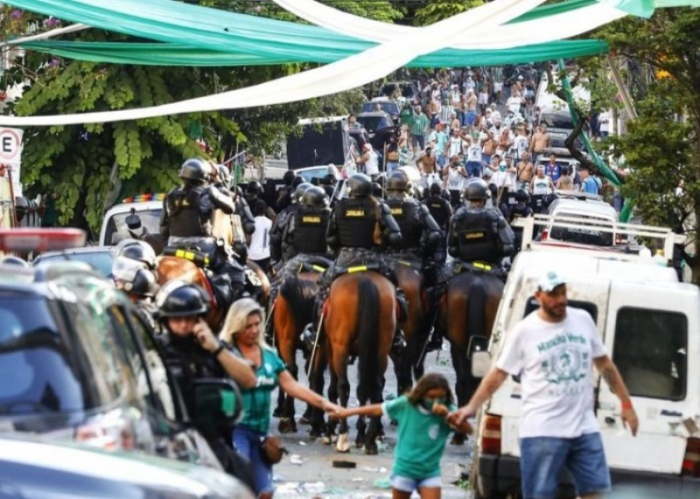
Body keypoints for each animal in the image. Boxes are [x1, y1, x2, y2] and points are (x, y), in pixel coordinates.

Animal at [324, 272, 396, 456]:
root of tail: (365, 280)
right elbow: (363, 391)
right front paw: (361, 436)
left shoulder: (331, 349)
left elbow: (333, 388)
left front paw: (330, 430)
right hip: (381, 350)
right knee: (375, 389)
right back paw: (370, 441)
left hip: (340, 348)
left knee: (343, 387)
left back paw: (343, 437)